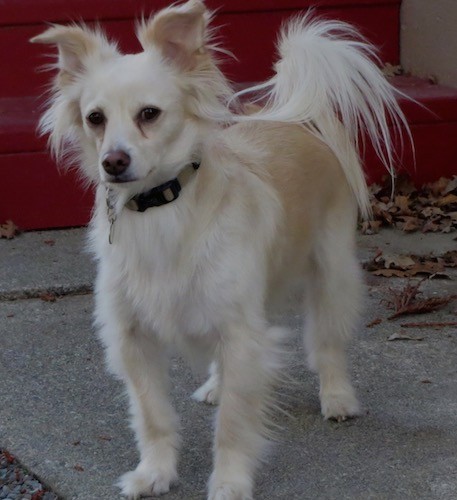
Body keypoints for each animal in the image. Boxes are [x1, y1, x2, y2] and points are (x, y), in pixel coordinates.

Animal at [32, 1, 408, 498]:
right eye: (95, 118)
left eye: (149, 113)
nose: (113, 161)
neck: (160, 209)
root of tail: (297, 119)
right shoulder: (134, 339)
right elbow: (152, 415)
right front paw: (155, 472)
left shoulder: (242, 337)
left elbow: (233, 423)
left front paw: (229, 482)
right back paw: (216, 383)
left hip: (332, 273)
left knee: (327, 342)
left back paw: (337, 395)